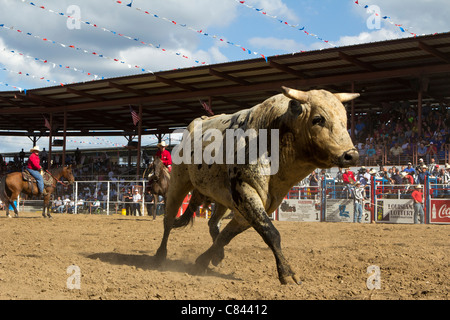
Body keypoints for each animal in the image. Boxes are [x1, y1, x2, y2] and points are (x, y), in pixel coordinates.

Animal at [155, 86, 358, 284]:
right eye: (318, 119)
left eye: (345, 119)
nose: (351, 155)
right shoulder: (246, 191)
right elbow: (271, 233)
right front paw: (287, 273)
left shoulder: (261, 204)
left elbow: (226, 236)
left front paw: (203, 261)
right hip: (178, 183)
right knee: (168, 220)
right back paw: (160, 256)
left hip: (220, 198)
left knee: (213, 224)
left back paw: (217, 256)